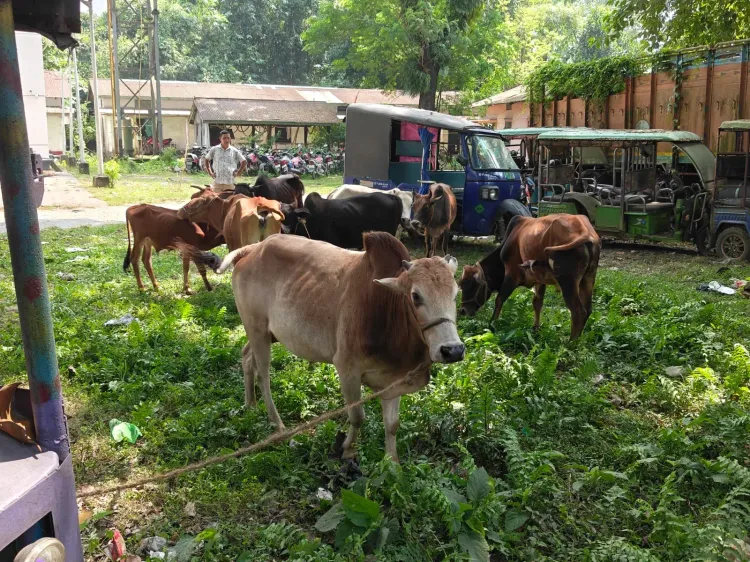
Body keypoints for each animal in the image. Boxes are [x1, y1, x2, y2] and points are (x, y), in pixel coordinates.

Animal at [198, 231, 464, 461]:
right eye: (415, 296)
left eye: (456, 293)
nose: (452, 350)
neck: (386, 307)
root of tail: (253, 248)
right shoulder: (347, 369)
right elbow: (357, 417)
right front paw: (346, 449)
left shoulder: (394, 380)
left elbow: (392, 425)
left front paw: (392, 463)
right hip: (257, 329)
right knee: (263, 375)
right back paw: (277, 424)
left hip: (265, 333)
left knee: (246, 357)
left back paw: (250, 404)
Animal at [458, 214, 601, 340]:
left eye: (471, 285)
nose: (462, 311)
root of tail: (586, 232)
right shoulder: (540, 280)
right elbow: (537, 303)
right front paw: (536, 328)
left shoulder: (511, 275)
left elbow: (499, 299)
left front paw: (492, 323)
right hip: (588, 278)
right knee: (588, 310)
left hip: (567, 282)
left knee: (578, 312)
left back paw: (570, 343)